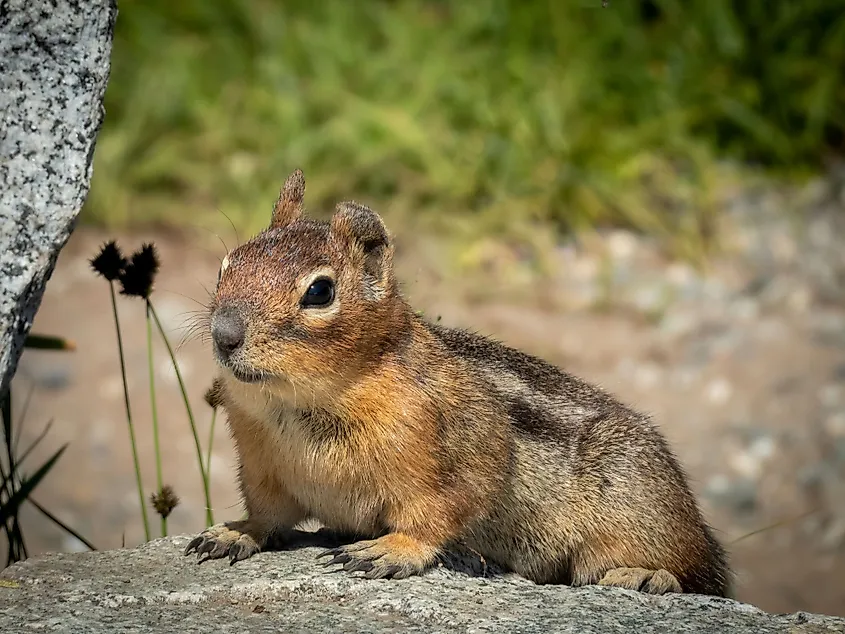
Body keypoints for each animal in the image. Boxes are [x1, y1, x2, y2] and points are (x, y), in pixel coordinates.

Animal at [186, 168, 732, 592]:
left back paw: (645, 575)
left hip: (639, 510)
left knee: (698, 575)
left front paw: (391, 550)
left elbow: (440, 512)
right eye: (227, 264)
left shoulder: (457, 455)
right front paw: (234, 532)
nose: (224, 334)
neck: (301, 398)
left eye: (319, 292)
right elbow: (268, 515)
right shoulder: (263, 469)